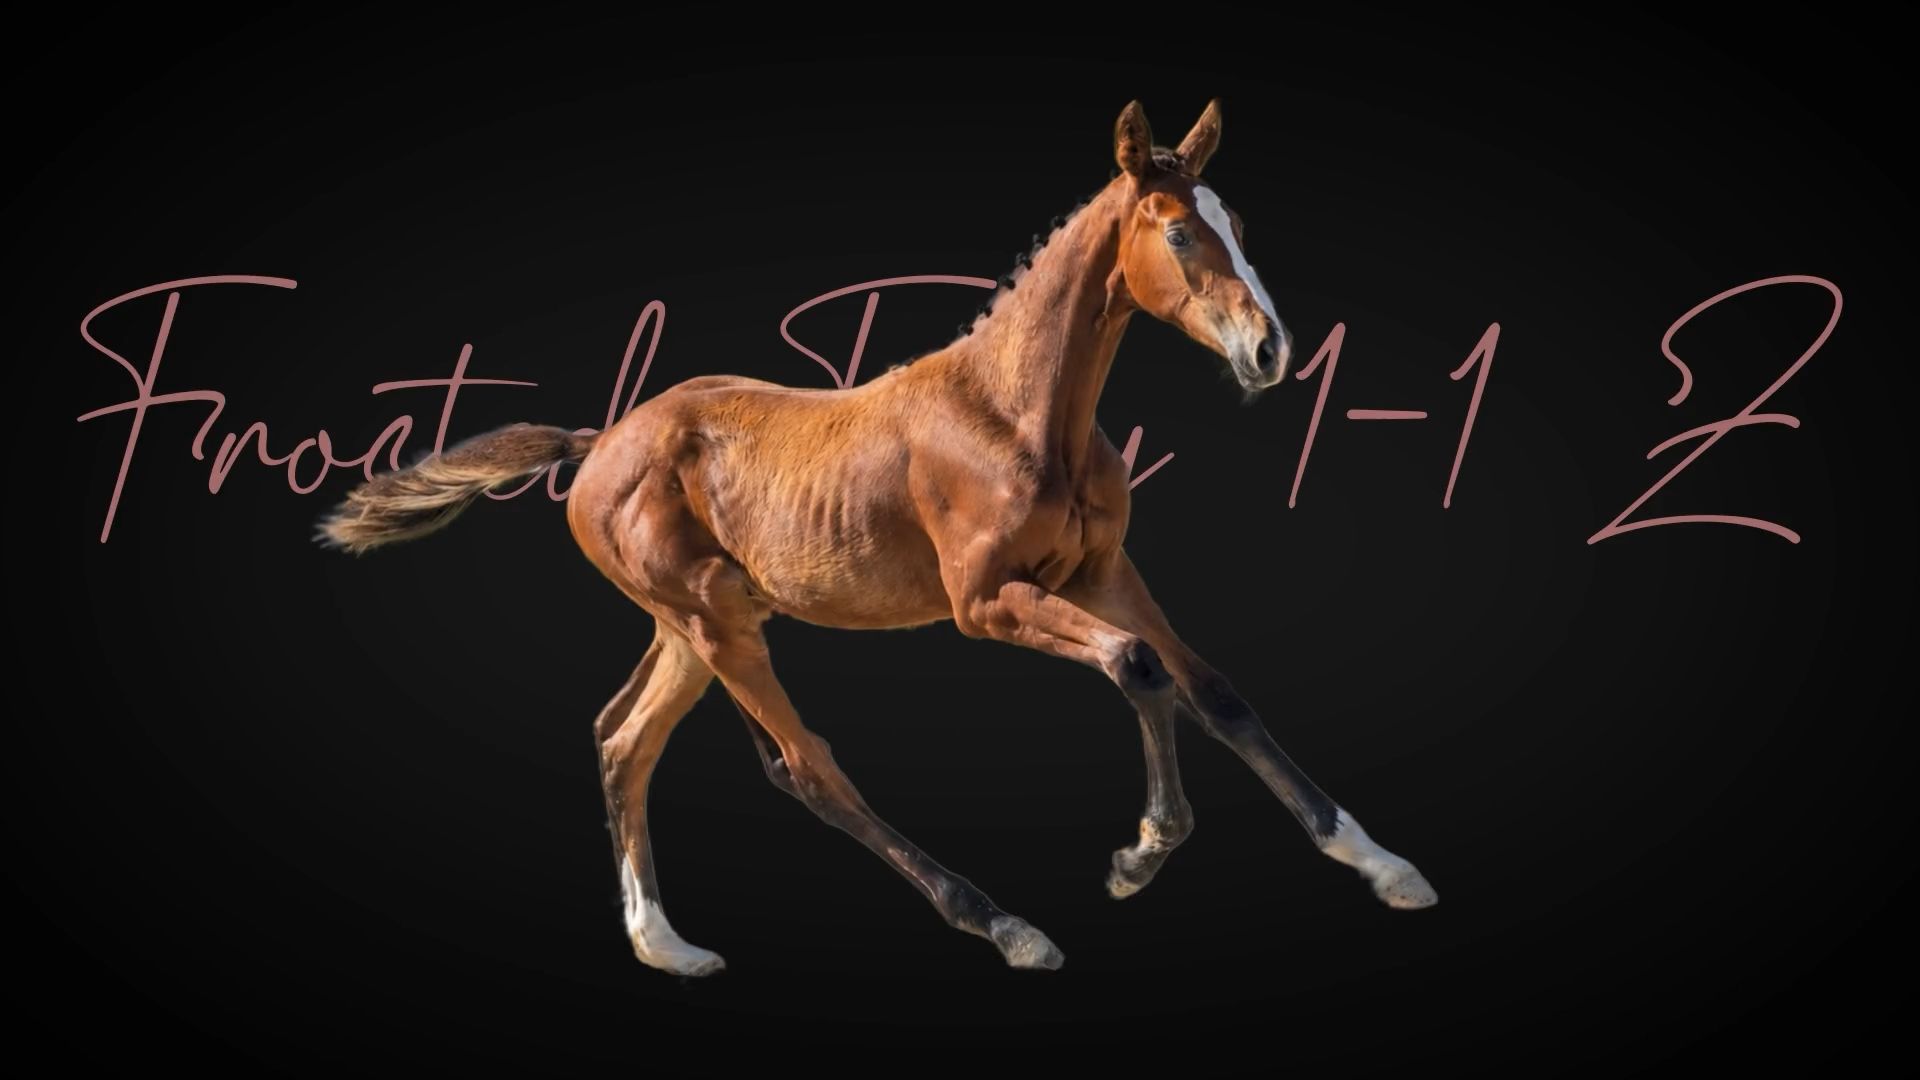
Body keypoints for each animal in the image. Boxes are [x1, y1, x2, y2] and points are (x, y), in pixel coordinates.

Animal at [317, 99, 1438, 976]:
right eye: (1176, 235)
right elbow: (1137, 668)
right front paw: (1142, 853)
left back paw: (664, 945)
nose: (1271, 351)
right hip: (716, 624)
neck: (1015, 413)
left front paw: (1384, 865)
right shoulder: (986, 603)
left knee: (623, 740)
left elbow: (1213, 688)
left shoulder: (1103, 571)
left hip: (695, 625)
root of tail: (599, 446)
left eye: (1236, 223)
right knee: (805, 766)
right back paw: (1004, 925)